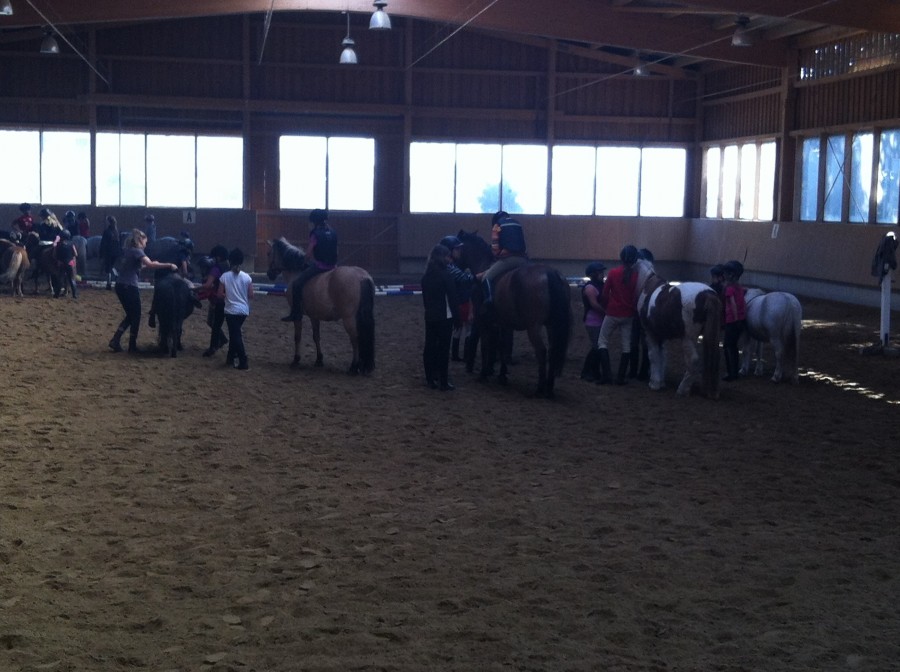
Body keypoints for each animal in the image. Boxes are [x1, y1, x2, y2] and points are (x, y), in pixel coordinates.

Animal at [266, 237, 375, 375]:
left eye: (269, 253)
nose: (269, 274)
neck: (297, 272)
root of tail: (361, 277)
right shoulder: (314, 316)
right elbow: (316, 337)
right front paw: (319, 360)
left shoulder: (298, 316)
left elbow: (297, 337)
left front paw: (296, 359)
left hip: (349, 318)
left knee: (355, 339)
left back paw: (353, 367)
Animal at [455, 230, 571, 398]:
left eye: (456, 248)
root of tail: (550, 273)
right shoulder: (504, 324)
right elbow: (503, 346)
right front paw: (502, 376)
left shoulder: (483, 322)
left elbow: (485, 346)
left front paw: (483, 374)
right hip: (552, 325)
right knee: (552, 351)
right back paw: (549, 389)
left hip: (533, 327)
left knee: (541, 351)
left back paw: (540, 389)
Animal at [634, 258, 721, 398]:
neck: (648, 286)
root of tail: (708, 295)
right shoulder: (661, 335)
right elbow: (662, 355)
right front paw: (661, 382)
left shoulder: (650, 333)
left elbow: (653, 356)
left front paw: (654, 383)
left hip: (688, 338)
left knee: (693, 361)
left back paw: (683, 389)